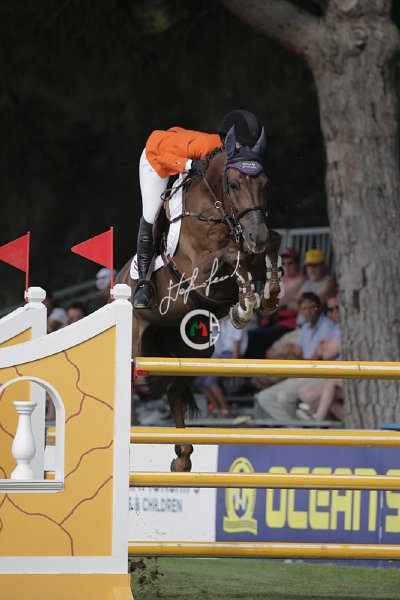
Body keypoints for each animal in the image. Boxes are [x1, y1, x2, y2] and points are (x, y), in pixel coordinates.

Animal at [117, 126, 283, 471]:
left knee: (174, 392)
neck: (219, 211)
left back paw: (182, 457)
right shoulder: (200, 275)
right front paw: (245, 304)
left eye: (266, 183)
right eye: (234, 184)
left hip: (192, 351)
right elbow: (232, 255)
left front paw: (266, 295)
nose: (256, 235)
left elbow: (270, 245)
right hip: (135, 349)